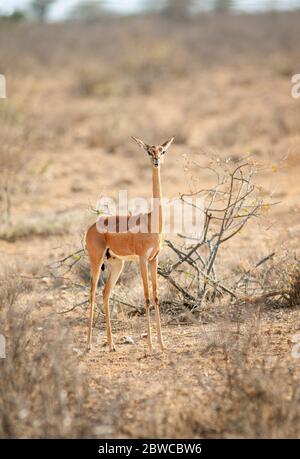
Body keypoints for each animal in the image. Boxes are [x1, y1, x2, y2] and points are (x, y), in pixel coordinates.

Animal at [85, 137, 173, 352]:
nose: (156, 161)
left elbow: (156, 296)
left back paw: (111, 345)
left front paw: (162, 344)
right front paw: (150, 345)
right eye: (149, 151)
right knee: (91, 293)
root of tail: (91, 227)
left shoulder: (154, 259)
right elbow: (147, 295)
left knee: (105, 294)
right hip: (96, 262)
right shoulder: (142, 258)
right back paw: (89, 345)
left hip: (117, 264)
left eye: (163, 151)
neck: (151, 221)